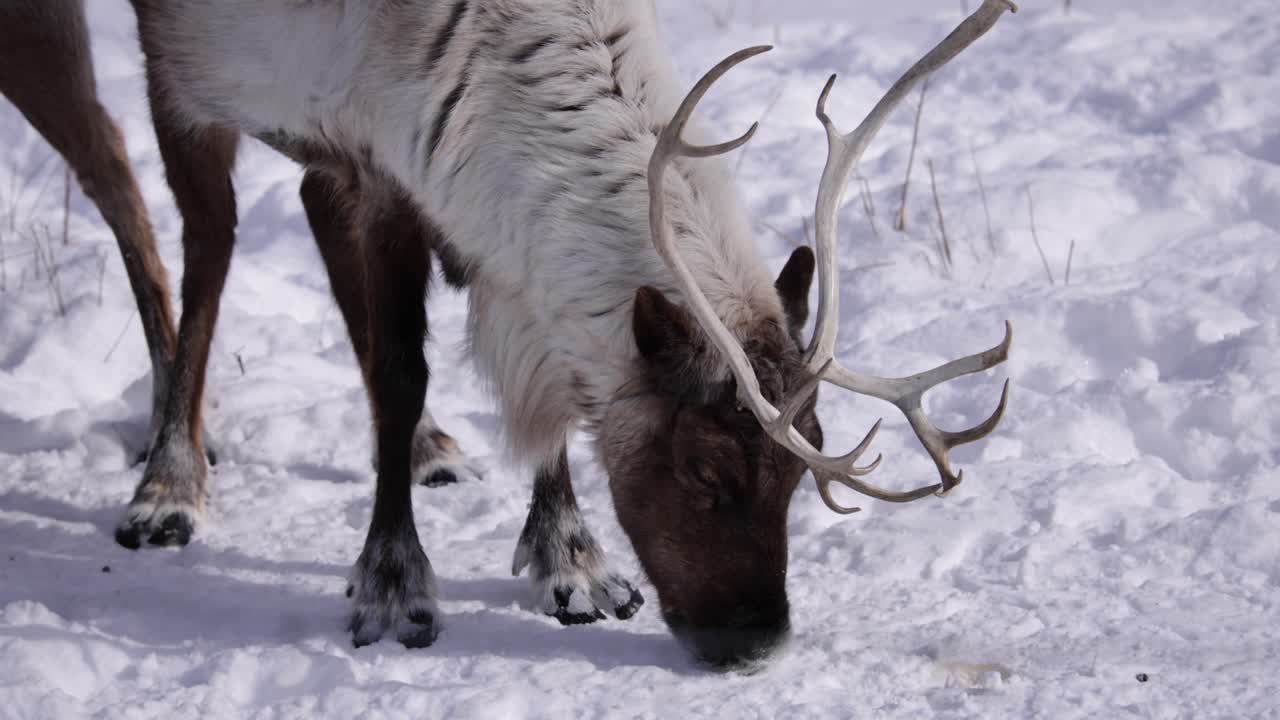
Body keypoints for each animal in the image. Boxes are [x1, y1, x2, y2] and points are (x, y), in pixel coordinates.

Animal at [23, 0, 1018, 669]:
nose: (759, 644)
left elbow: (553, 389)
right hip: (158, 71)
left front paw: (571, 560)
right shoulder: (378, 159)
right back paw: (170, 475)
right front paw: (393, 584)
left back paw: (424, 449)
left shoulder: (441, 186)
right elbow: (401, 374)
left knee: (285, 205)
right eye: (703, 470)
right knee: (182, 235)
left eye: (798, 470)